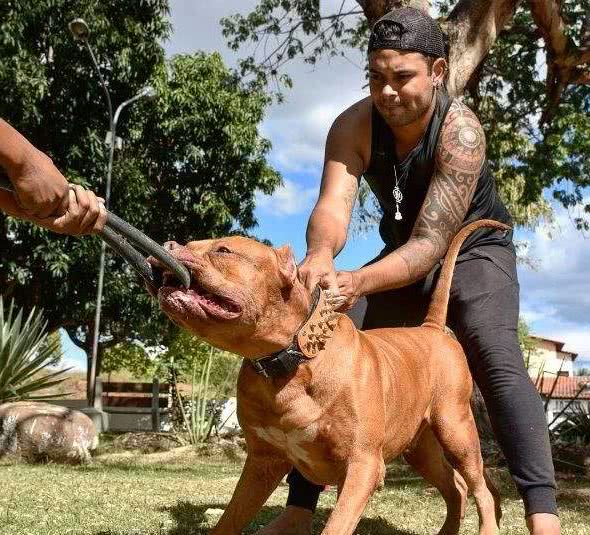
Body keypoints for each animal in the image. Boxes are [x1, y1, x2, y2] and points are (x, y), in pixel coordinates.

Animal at [147, 219, 508, 535]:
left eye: (223, 250)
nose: (167, 246)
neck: (289, 360)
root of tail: (431, 329)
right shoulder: (261, 464)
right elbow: (230, 518)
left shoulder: (362, 466)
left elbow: (336, 525)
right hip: (423, 450)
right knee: (457, 486)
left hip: (456, 430)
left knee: (479, 487)